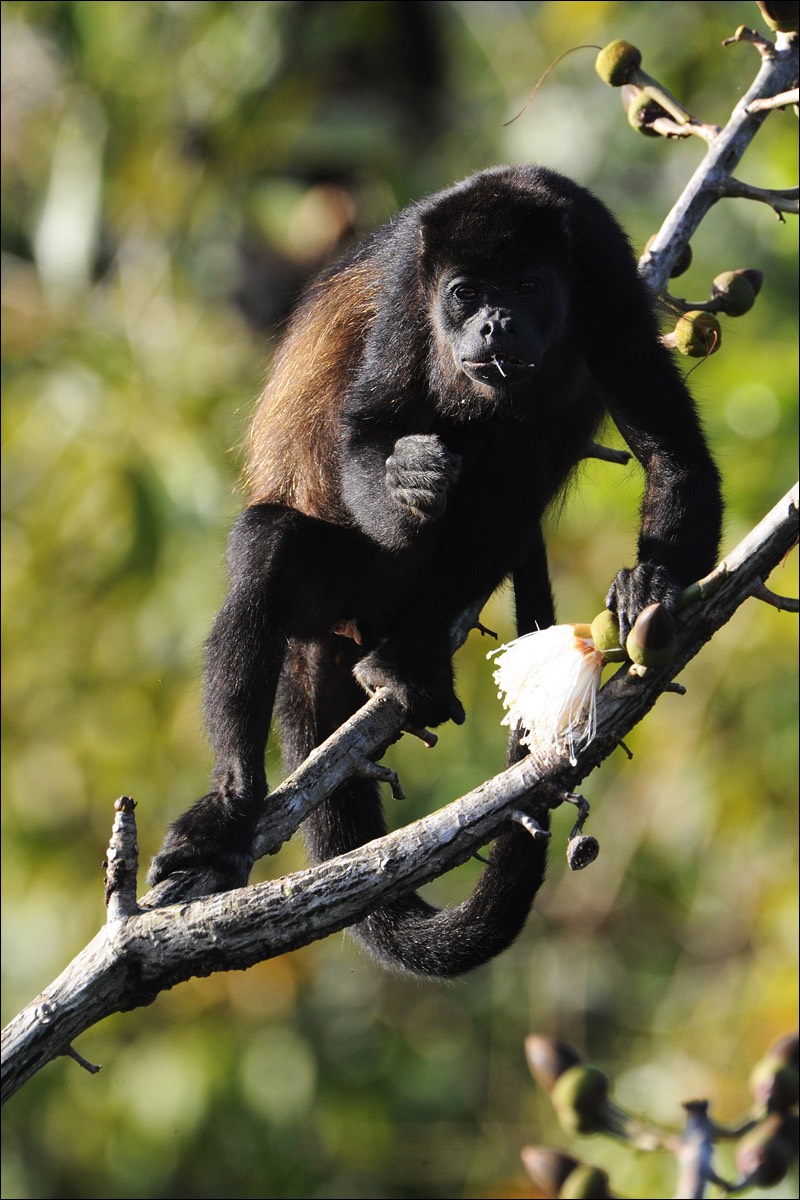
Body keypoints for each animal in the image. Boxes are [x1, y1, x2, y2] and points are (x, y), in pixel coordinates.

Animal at [148, 166, 719, 974]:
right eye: (463, 294)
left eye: (527, 286)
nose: (495, 326)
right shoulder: (404, 292)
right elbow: (366, 434)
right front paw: (405, 480)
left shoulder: (604, 275)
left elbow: (675, 452)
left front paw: (655, 584)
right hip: (343, 588)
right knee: (268, 544)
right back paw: (230, 807)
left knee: (512, 458)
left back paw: (405, 663)